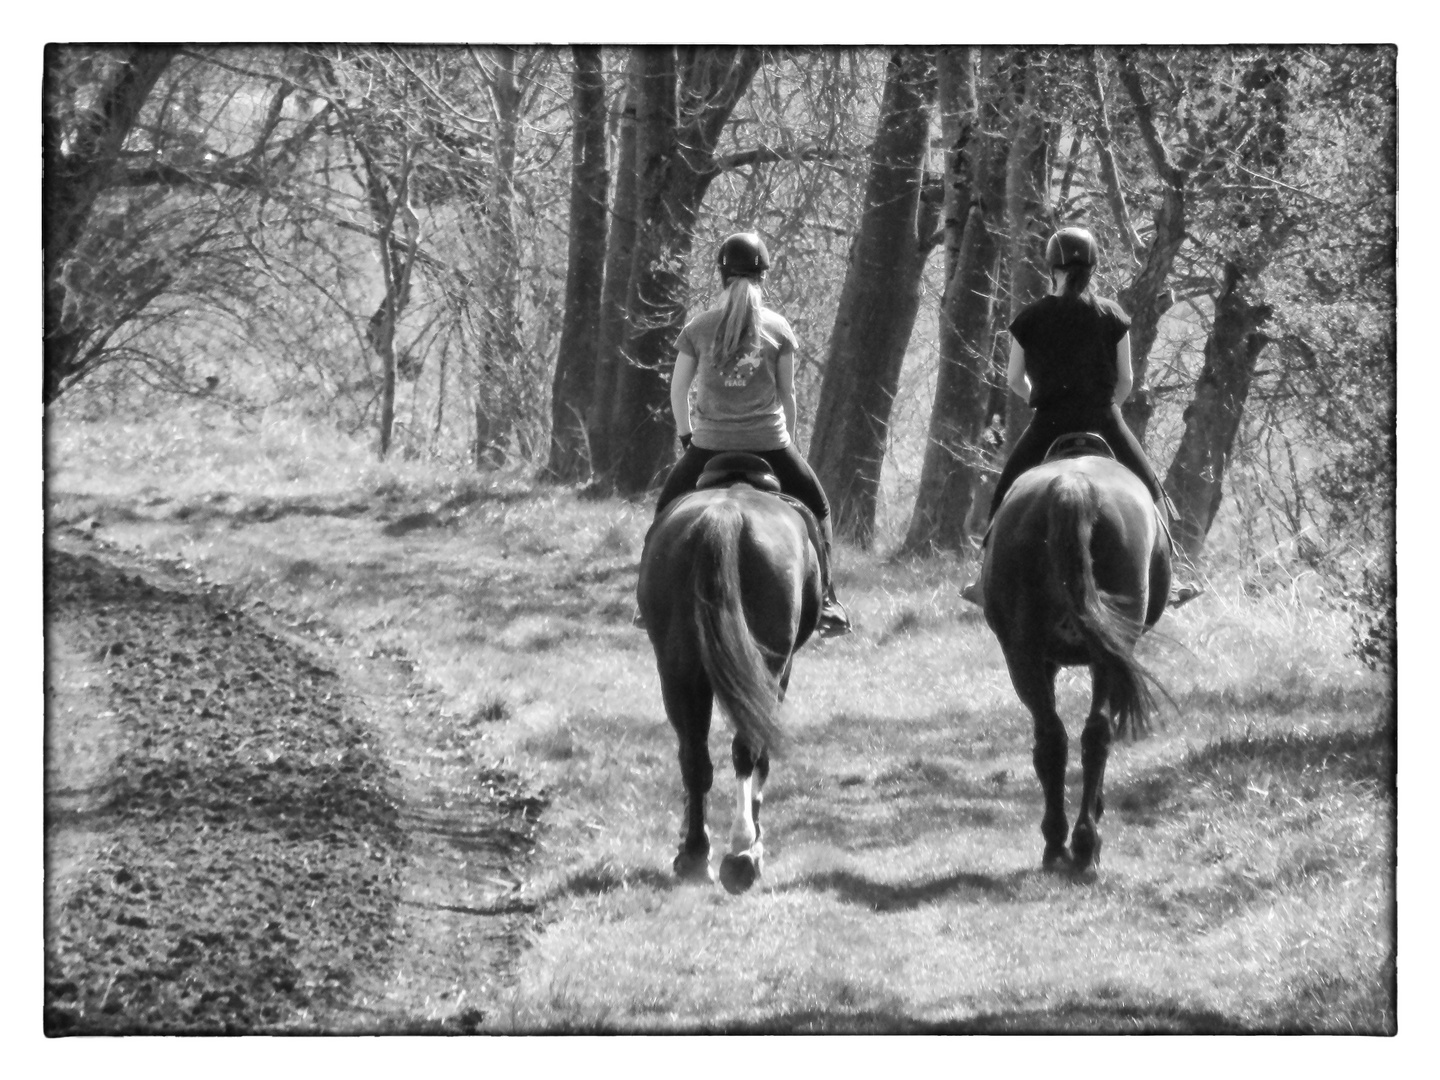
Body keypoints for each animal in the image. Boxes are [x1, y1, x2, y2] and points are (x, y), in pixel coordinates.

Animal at [633, 455, 823, 898]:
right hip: (764, 667)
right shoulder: (780, 671)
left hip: (678, 672)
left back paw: (695, 854)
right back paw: (741, 853)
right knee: (746, 748)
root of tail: (724, 518)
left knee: (694, 758)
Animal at [979, 449, 1169, 881]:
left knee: (1057, 737)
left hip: (1027, 657)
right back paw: (1081, 846)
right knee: (1090, 735)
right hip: (1097, 655)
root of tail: (1073, 485)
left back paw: (1062, 844)